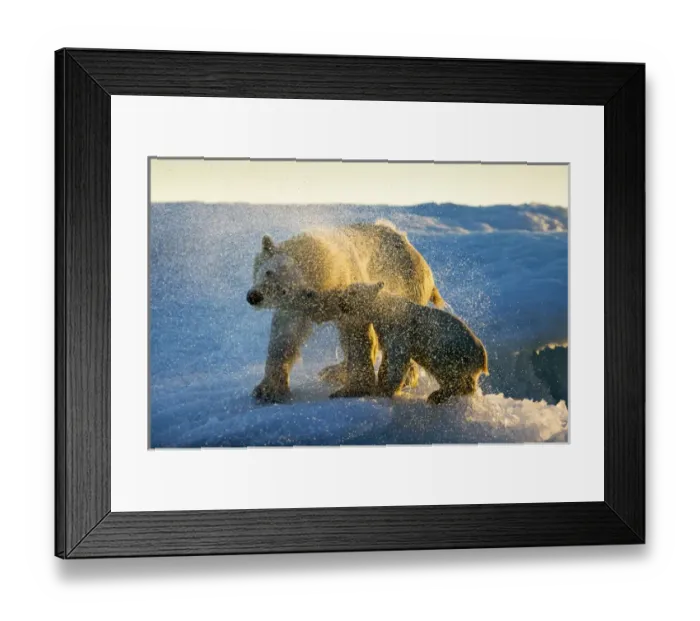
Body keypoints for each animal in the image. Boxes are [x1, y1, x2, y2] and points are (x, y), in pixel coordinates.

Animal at [246, 222, 444, 403]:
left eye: (284, 290)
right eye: (268, 272)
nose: (254, 297)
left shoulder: (350, 290)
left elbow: (357, 334)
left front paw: (354, 388)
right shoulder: (295, 308)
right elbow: (285, 336)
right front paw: (268, 390)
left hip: (406, 283)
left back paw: (406, 378)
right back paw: (334, 370)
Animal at [284, 283, 489, 404]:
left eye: (351, 291)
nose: (340, 297)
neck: (387, 309)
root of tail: (482, 357)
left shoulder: (400, 332)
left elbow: (397, 360)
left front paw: (383, 390)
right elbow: (388, 358)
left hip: (451, 351)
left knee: (450, 373)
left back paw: (438, 394)